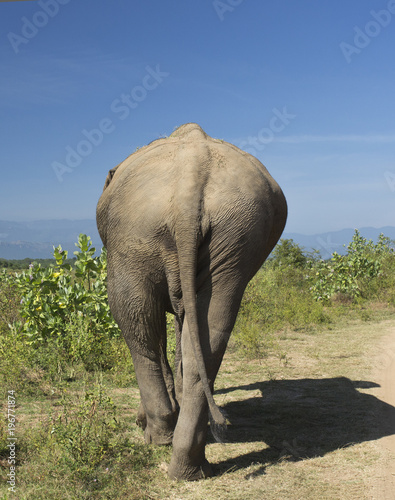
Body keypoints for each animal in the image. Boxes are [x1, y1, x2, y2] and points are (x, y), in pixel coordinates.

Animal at [96, 121, 288, 480]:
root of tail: (192, 176)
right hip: (234, 235)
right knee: (211, 328)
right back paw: (189, 468)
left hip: (134, 237)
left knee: (136, 324)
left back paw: (158, 437)